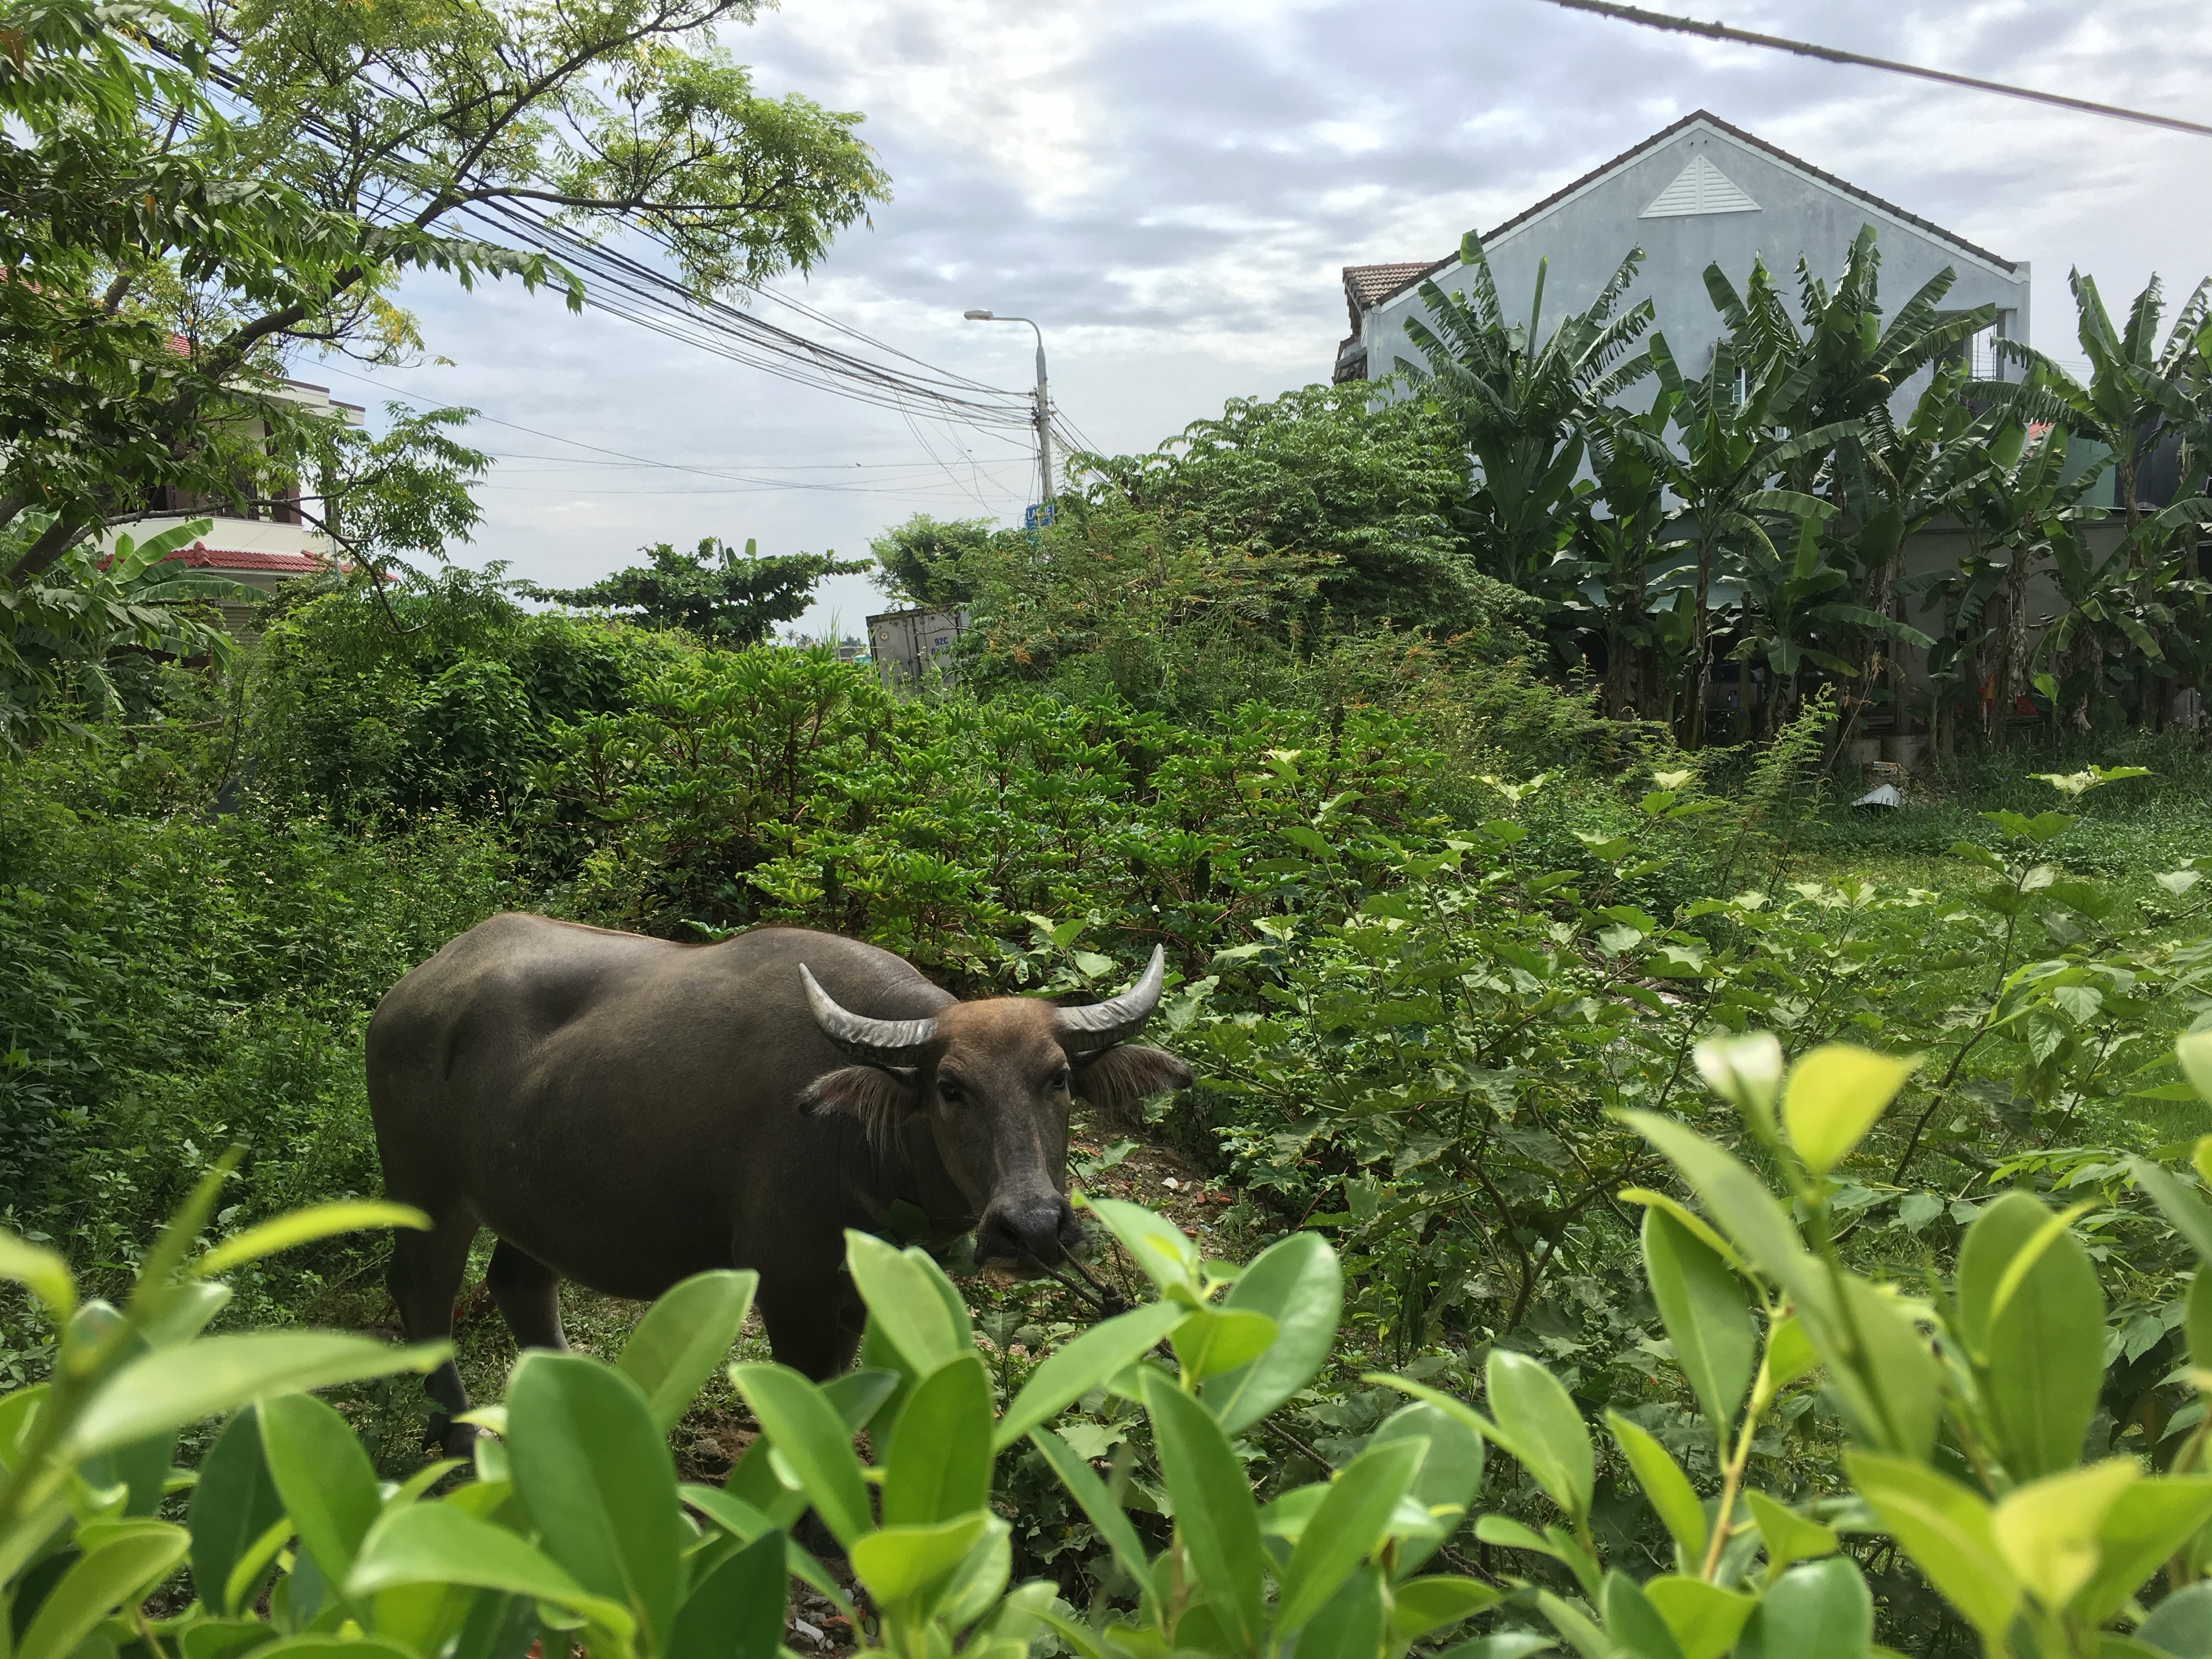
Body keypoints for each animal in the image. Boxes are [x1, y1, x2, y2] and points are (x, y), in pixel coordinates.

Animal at [367, 916, 1190, 1451]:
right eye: (951, 1088)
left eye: (1058, 1079)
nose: (1033, 1227)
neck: (864, 1143)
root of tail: (408, 993)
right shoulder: (789, 1287)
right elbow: (810, 1392)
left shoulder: (856, 1290)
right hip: (426, 1194)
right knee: (420, 1293)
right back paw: (456, 1440)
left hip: (533, 1203)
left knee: (520, 1283)